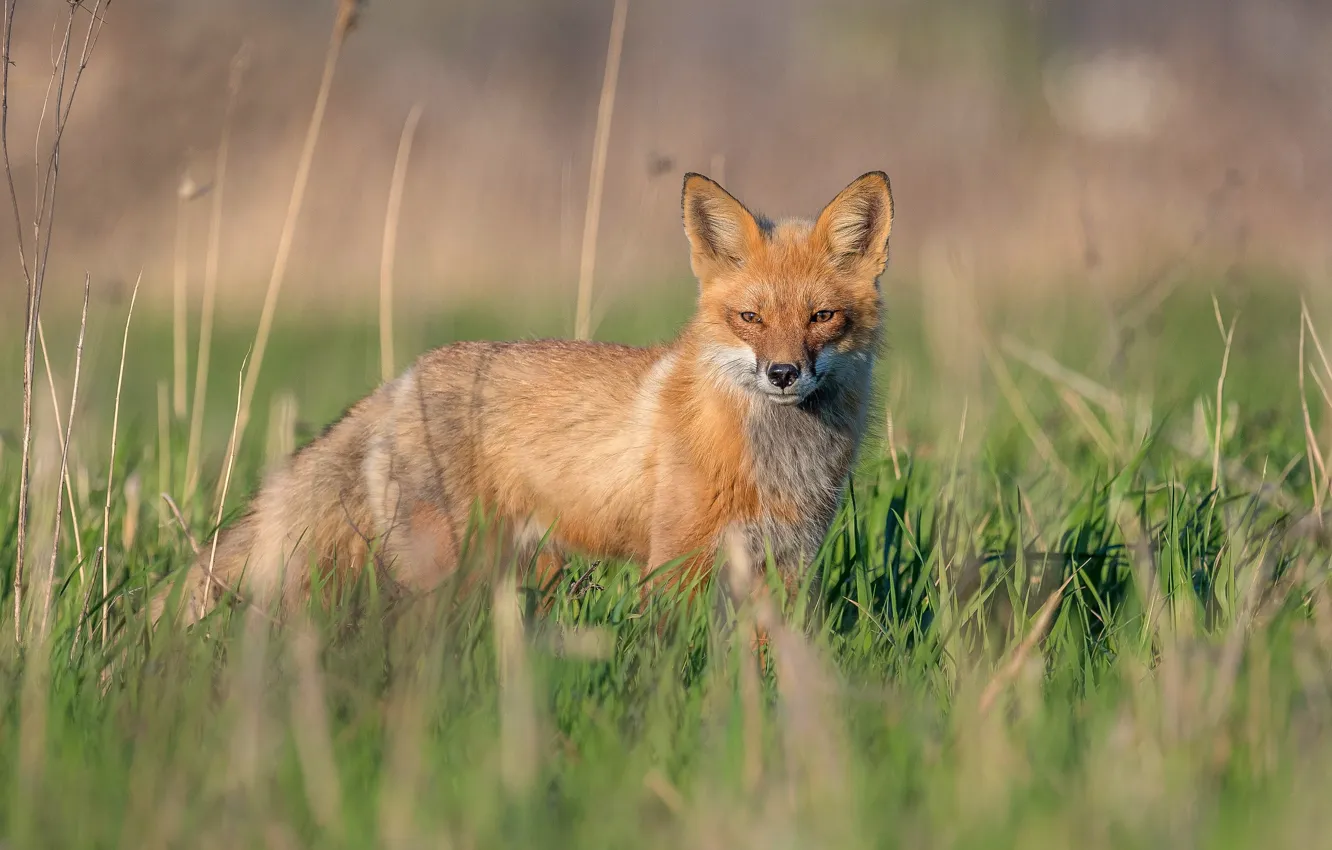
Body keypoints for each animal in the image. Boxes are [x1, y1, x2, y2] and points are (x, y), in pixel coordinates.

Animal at [150, 170, 894, 627]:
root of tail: (404, 378)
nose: (783, 374)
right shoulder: (674, 562)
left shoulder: (786, 566)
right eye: (750, 319)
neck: (775, 463)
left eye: (822, 317)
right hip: (443, 563)